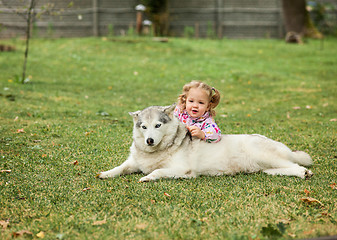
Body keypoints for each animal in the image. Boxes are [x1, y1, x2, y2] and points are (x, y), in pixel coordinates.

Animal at [98, 104, 312, 182]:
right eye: (143, 127)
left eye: (157, 125)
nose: (149, 140)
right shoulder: (133, 162)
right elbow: (120, 168)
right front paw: (106, 173)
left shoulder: (183, 171)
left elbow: (157, 171)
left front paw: (147, 177)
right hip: (265, 166)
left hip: (264, 155)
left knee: (295, 165)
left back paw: (304, 172)